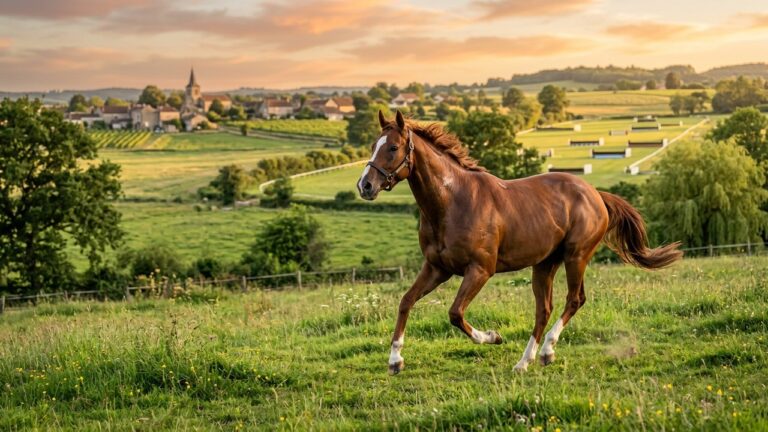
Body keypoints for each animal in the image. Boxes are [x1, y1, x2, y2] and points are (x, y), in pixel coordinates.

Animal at [357, 110, 682, 375]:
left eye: (393, 147)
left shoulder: (480, 270)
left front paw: (493, 337)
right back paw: (525, 362)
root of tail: (595, 194)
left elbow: (455, 313)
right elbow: (405, 302)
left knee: (574, 300)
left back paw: (547, 352)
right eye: (373, 146)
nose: (365, 186)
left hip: (576, 256)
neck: (451, 203)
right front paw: (395, 361)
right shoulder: (437, 268)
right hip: (545, 264)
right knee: (544, 309)